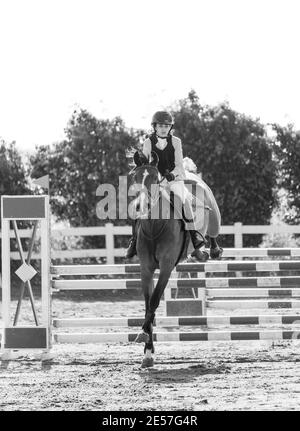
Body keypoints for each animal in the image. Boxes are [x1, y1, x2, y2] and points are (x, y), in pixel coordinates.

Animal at [130, 151, 221, 368]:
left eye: (155, 179)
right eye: (134, 178)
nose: (141, 206)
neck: (154, 227)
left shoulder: (166, 267)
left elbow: (154, 302)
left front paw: (142, 335)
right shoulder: (146, 269)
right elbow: (148, 304)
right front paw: (148, 352)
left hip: (214, 217)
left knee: (214, 233)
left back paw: (211, 250)